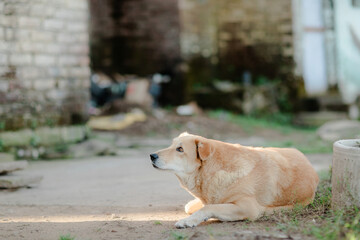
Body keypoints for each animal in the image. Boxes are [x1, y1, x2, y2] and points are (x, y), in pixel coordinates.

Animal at [149, 132, 318, 228]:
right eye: (170, 145)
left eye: (180, 149)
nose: (152, 155)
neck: (212, 171)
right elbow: (197, 206)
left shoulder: (248, 207)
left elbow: (209, 208)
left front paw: (189, 220)